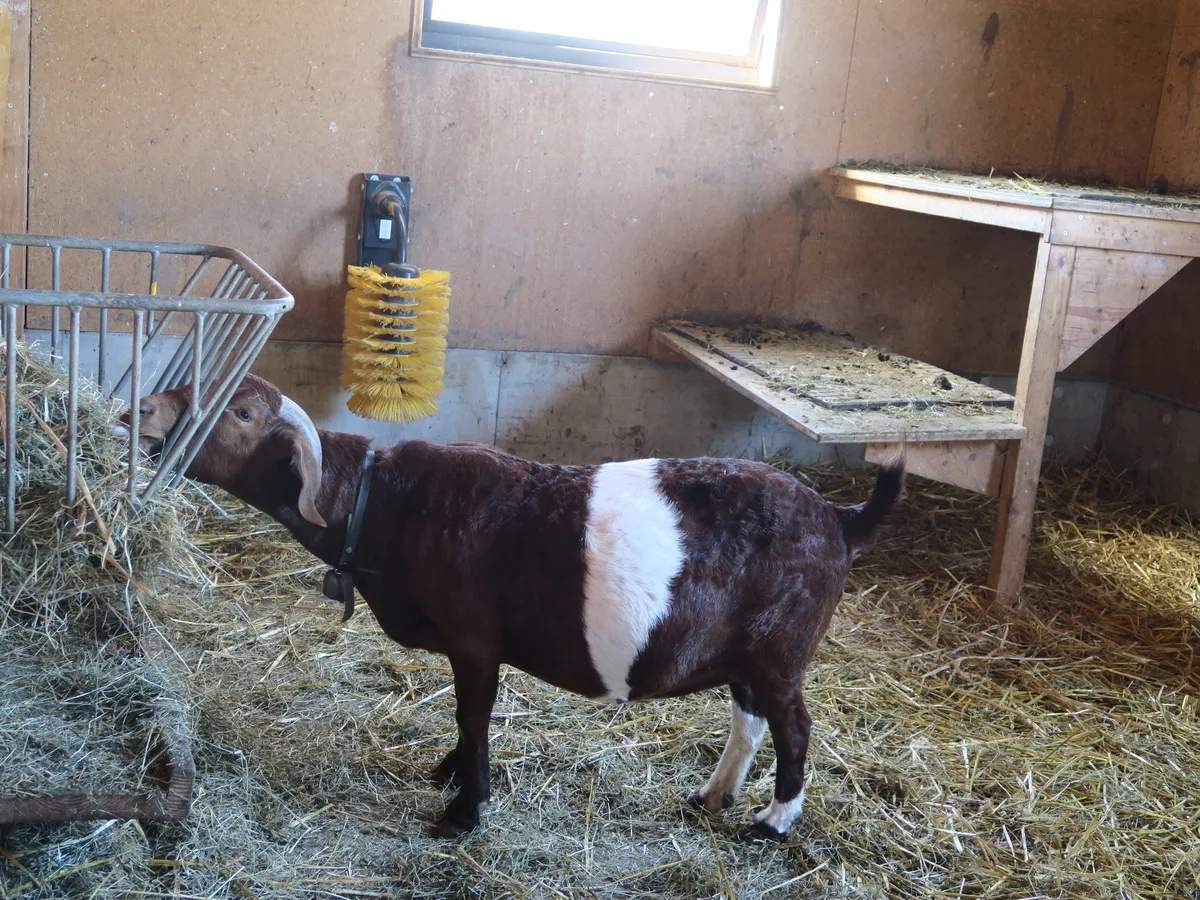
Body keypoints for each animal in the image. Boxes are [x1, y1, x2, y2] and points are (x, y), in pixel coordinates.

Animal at [117, 373, 904, 841]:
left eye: (244, 412)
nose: (140, 411)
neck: (381, 501)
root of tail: (840, 520)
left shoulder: (473, 638)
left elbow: (473, 715)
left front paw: (462, 809)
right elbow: (467, 719)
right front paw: (452, 776)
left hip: (781, 648)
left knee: (794, 728)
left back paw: (773, 821)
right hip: (743, 651)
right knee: (749, 719)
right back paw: (710, 798)